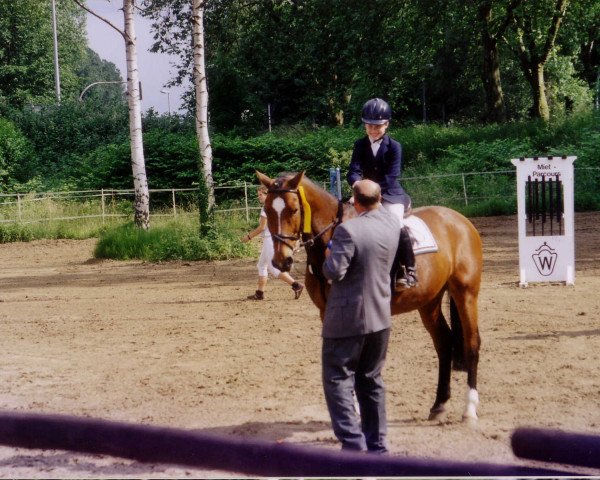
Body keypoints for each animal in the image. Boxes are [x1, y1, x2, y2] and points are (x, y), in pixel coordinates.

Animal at [256, 171, 482, 422]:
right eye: (267, 209)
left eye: (294, 209)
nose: (281, 261)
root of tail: (459, 220)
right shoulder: (327, 312)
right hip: (428, 301)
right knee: (444, 342)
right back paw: (439, 404)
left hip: (465, 292)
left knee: (472, 342)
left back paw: (470, 409)